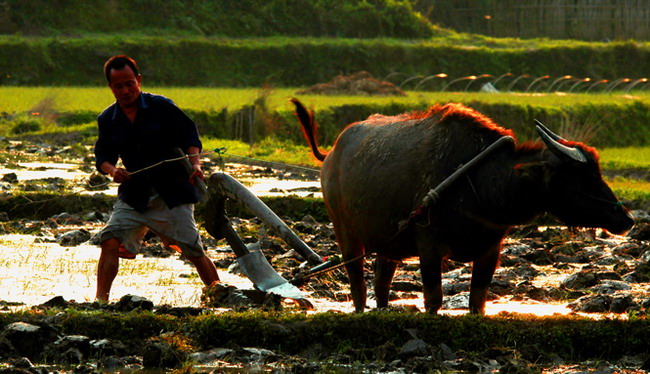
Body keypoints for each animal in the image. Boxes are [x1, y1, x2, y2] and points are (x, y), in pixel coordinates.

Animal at [290, 98, 632, 314]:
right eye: (583, 177)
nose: (626, 218)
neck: (480, 184)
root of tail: (331, 154)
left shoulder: (490, 250)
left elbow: (477, 301)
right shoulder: (429, 248)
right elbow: (433, 299)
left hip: (387, 242)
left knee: (381, 282)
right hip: (345, 233)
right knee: (357, 283)